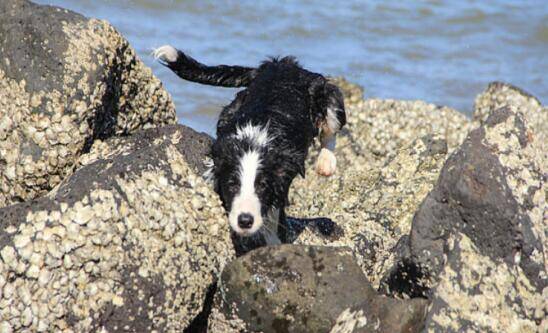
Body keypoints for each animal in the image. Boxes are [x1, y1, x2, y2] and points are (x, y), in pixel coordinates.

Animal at [152, 44, 344, 246]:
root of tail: (280, 64)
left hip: (327, 94)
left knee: (330, 130)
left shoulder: (281, 176)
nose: (245, 221)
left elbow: (274, 212)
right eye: (232, 185)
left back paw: (326, 163)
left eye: (262, 186)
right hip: (230, 110)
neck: (253, 140)